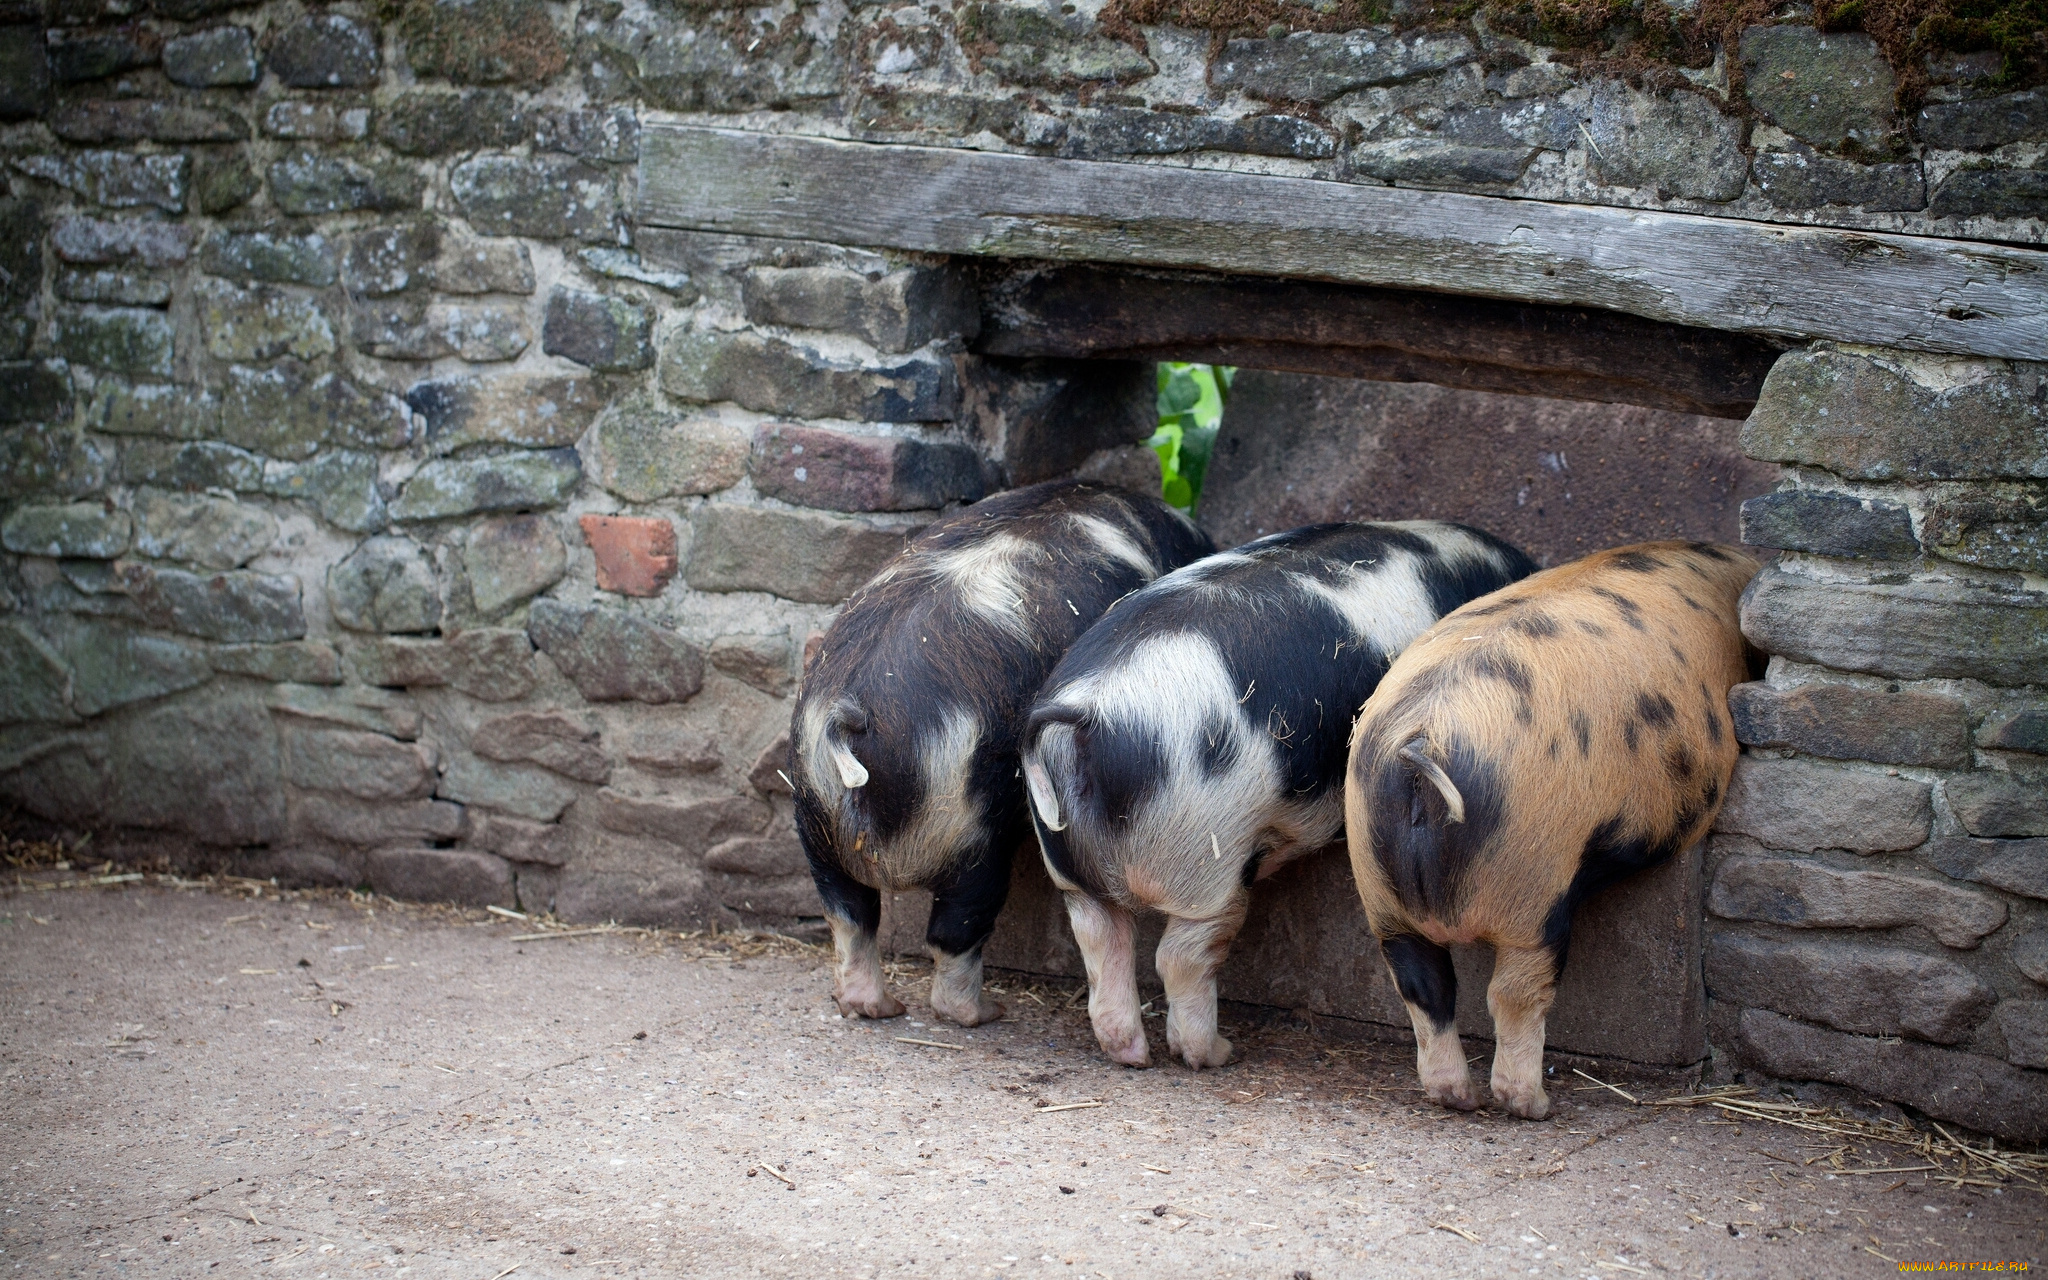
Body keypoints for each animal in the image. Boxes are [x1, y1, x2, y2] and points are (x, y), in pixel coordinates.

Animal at [782, 479, 1204, 1028]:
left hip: (814, 821)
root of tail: (847, 716)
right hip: (971, 834)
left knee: (850, 917)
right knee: (954, 930)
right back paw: (983, 1014)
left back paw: (875, 1007)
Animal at [1015, 520, 1531, 1064]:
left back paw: (1134, 1055)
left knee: (1099, 939)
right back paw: (1216, 1054)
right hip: (1203, 856)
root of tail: (1082, 717)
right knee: (1181, 954)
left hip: (1072, 867)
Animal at [1343, 540, 1761, 1114]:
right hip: (1534, 881)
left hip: (1376, 883)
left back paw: (1459, 1098)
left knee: (1422, 986)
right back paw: (1533, 1106)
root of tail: (1422, 741)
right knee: (1513, 992)